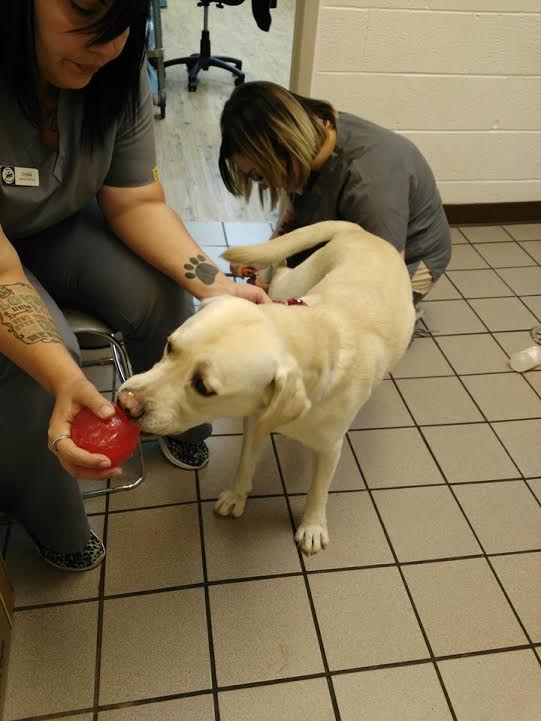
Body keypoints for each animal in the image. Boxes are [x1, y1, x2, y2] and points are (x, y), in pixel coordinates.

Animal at [117, 222, 414, 556]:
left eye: (202, 386)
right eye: (170, 346)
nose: (125, 404)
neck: (313, 333)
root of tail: (363, 232)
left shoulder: (330, 447)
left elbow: (318, 489)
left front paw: (313, 525)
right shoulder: (254, 419)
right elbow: (246, 461)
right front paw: (237, 495)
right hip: (296, 281)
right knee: (282, 271)